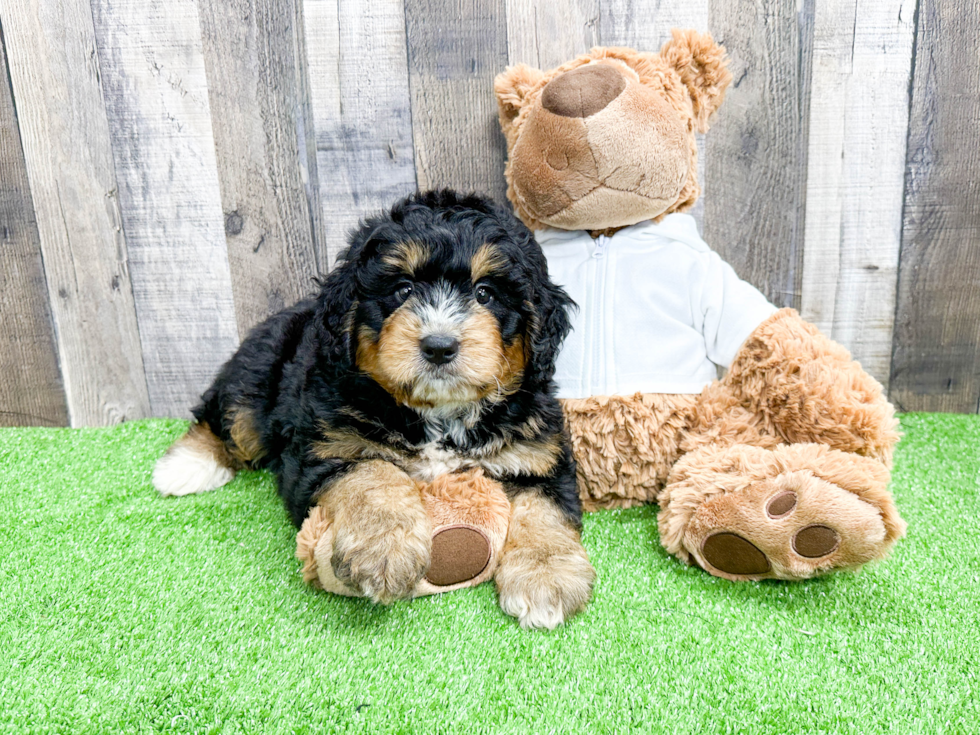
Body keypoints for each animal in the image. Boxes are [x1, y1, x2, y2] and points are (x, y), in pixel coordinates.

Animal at [153, 191, 592, 632]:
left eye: (485, 293)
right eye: (402, 289)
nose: (438, 346)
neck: (437, 413)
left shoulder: (538, 453)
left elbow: (544, 511)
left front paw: (545, 580)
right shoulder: (327, 445)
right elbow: (373, 474)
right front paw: (383, 551)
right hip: (257, 372)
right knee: (227, 417)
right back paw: (185, 466)